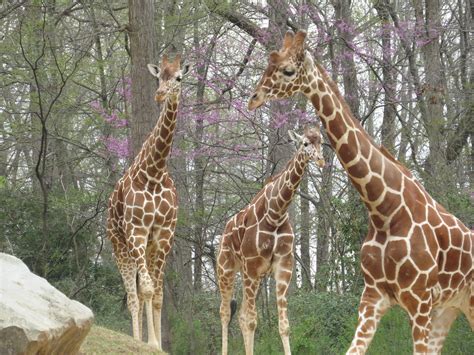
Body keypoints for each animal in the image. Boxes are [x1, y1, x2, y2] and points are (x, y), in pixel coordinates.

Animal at [106, 55, 190, 350]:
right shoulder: (137, 231)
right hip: (120, 247)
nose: (160, 94)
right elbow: (146, 288)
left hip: (148, 247)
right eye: (158, 77)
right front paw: (150, 343)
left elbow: (157, 293)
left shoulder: (163, 234)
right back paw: (135, 339)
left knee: (142, 292)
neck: (153, 173)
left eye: (178, 77)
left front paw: (157, 345)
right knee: (133, 295)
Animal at [218, 126, 326, 355]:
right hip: (226, 269)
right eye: (305, 143)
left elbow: (284, 325)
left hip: (253, 276)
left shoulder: (283, 265)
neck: (276, 213)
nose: (321, 160)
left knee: (240, 315)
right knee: (225, 312)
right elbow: (252, 321)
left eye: (321, 141)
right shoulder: (251, 265)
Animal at [250, 31, 472, 355]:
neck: (384, 209)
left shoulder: (418, 300)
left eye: (288, 70)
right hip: (450, 308)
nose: (253, 98)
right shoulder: (373, 297)